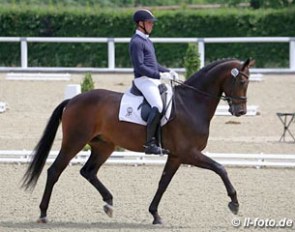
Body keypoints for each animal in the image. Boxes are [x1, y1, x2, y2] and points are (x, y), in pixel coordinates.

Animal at [22, 57, 254, 225]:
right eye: (242, 81)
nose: (241, 111)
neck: (192, 103)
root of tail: (73, 100)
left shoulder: (177, 156)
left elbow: (163, 183)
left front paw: (155, 215)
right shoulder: (189, 153)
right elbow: (220, 168)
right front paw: (234, 203)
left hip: (103, 146)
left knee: (88, 171)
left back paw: (109, 204)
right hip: (75, 142)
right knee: (54, 171)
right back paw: (43, 214)